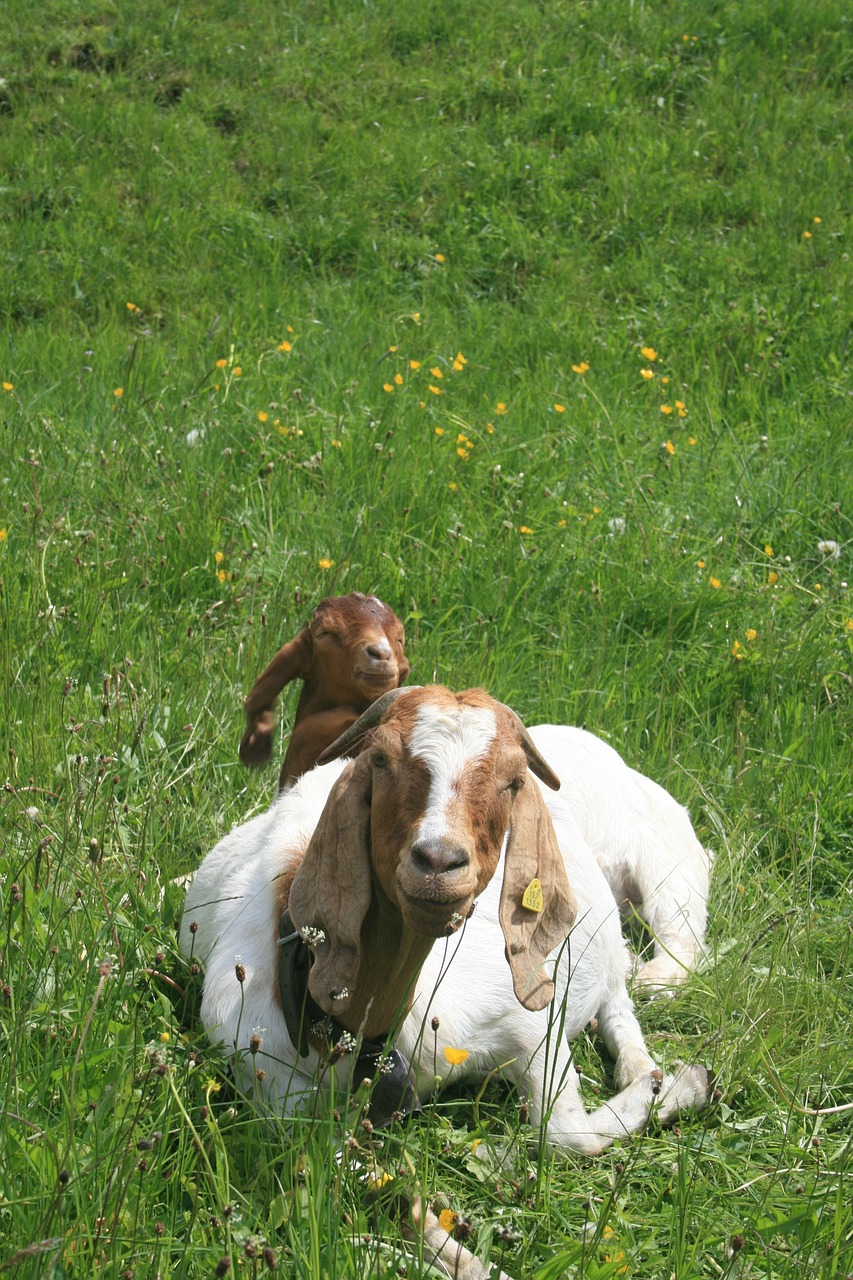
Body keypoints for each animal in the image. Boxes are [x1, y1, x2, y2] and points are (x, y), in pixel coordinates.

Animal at [180, 691, 712, 1162]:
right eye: (380, 759)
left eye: (512, 780)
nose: (439, 862)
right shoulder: (269, 1088)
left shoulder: (530, 1022)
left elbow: (566, 1133)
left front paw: (684, 1086)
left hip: (667, 870)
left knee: (656, 966)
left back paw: (646, 1063)